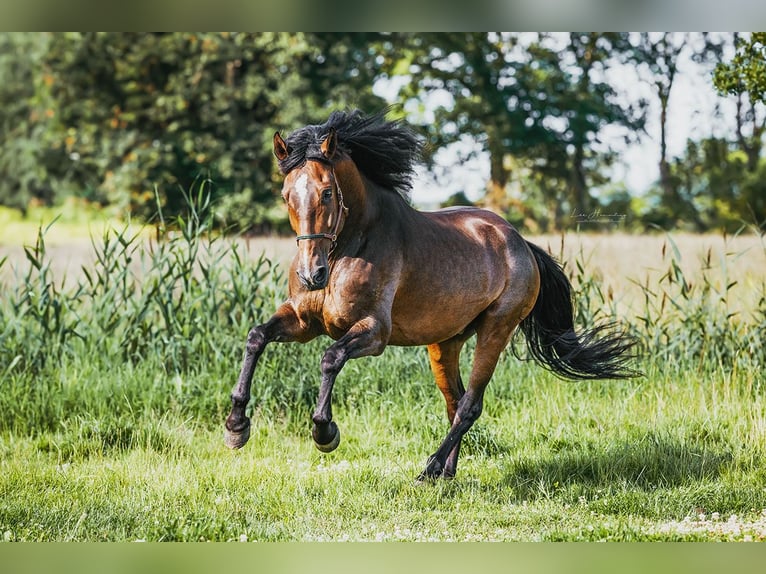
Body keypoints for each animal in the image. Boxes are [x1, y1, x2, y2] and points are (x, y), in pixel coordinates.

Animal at [225, 108, 640, 482]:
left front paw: (324, 432)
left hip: (496, 329)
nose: (312, 275)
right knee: (454, 402)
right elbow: (256, 337)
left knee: (470, 405)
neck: (350, 246)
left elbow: (330, 358)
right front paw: (236, 426)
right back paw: (447, 473)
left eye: (327, 193)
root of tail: (520, 242)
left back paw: (429, 470)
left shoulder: (373, 332)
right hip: (445, 343)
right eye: (286, 195)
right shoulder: (302, 320)